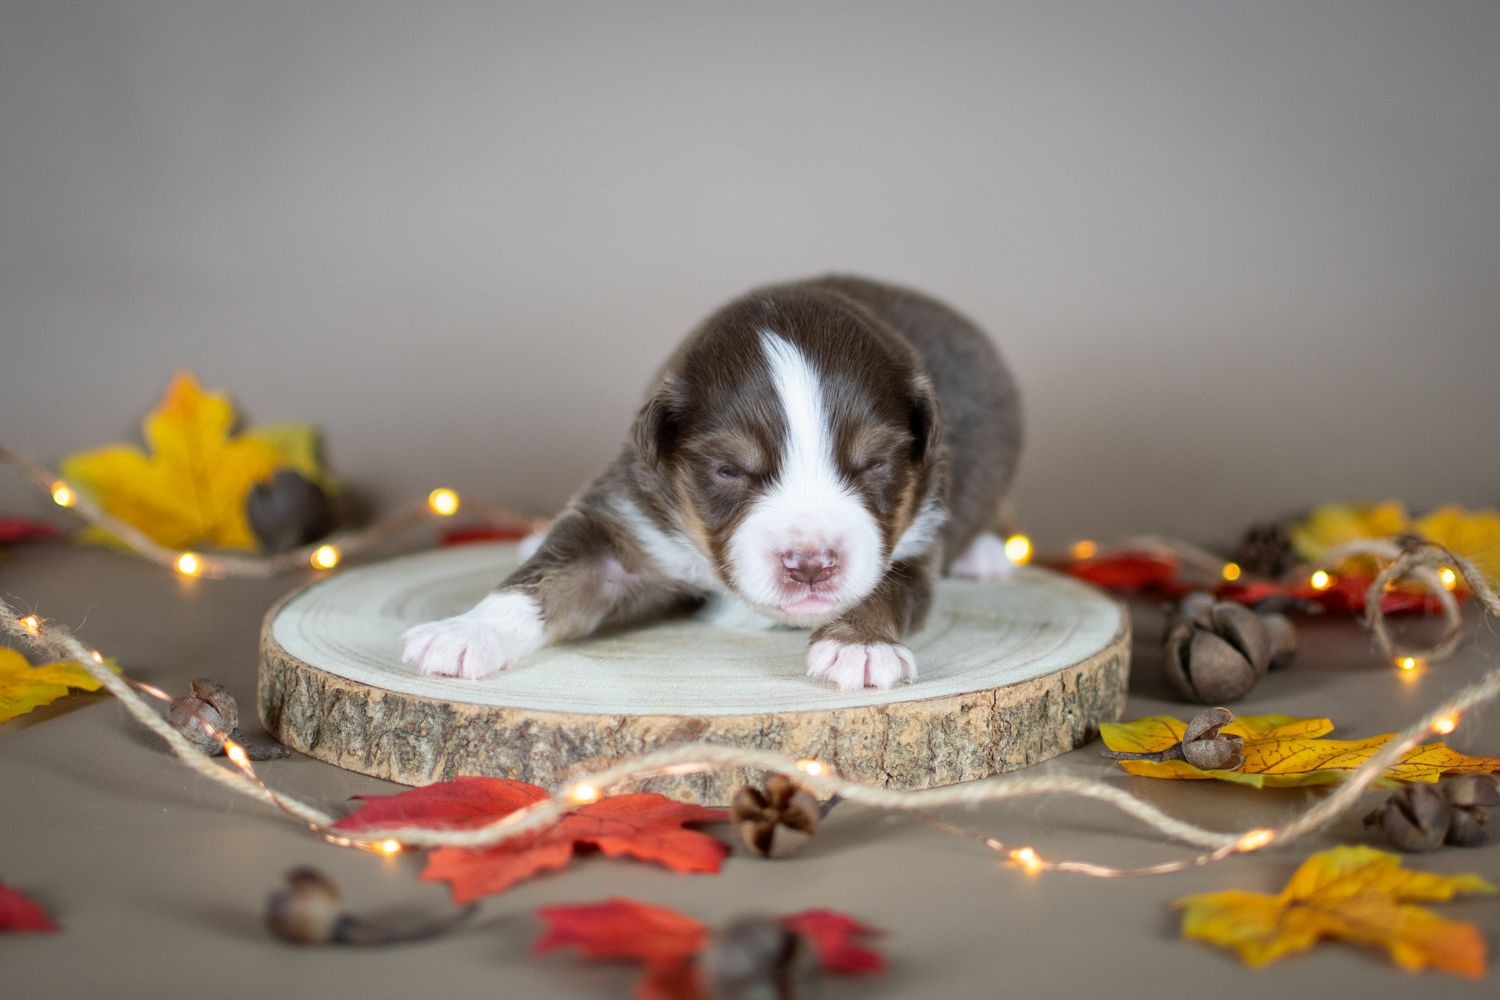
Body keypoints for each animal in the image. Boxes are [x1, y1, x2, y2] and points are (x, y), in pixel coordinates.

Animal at [399, 277, 1020, 692]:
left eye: (873, 464)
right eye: (728, 471)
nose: (810, 564)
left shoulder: (919, 531)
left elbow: (889, 586)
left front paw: (860, 646)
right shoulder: (631, 512)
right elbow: (548, 577)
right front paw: (464, 632)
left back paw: (986, 553)